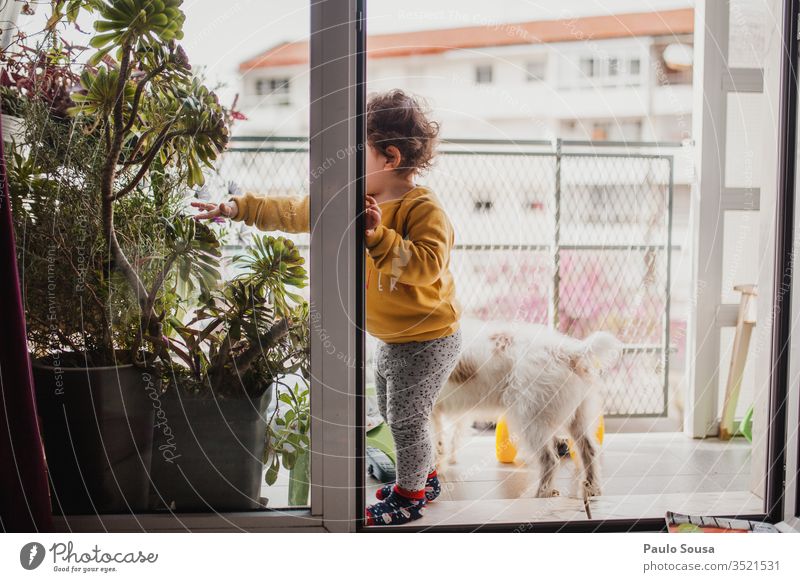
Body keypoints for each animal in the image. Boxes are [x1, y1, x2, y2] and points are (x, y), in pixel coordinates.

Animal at [432, 320, 624, 502]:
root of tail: (569, 351)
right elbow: (443, 442)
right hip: (578, 418)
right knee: (589, 450)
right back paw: (592, 489)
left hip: (529, 420)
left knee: (550, 460)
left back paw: (542, 494)